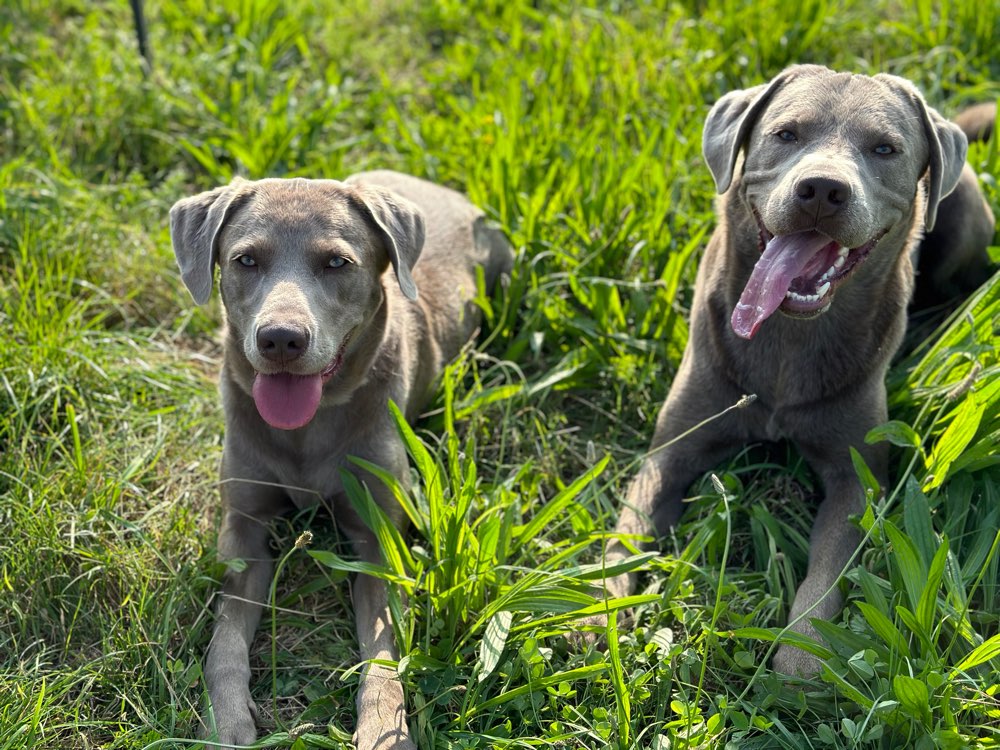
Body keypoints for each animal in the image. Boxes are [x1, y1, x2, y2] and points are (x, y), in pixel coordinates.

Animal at [169, 172, 512, 750]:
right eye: (245, 260)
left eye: (336, 262)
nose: (281, 339)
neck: (306, 431)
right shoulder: (244, 528)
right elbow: (226, 637)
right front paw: (226, 719)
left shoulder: (378, 540)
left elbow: (382, 652)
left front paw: (382, 728)